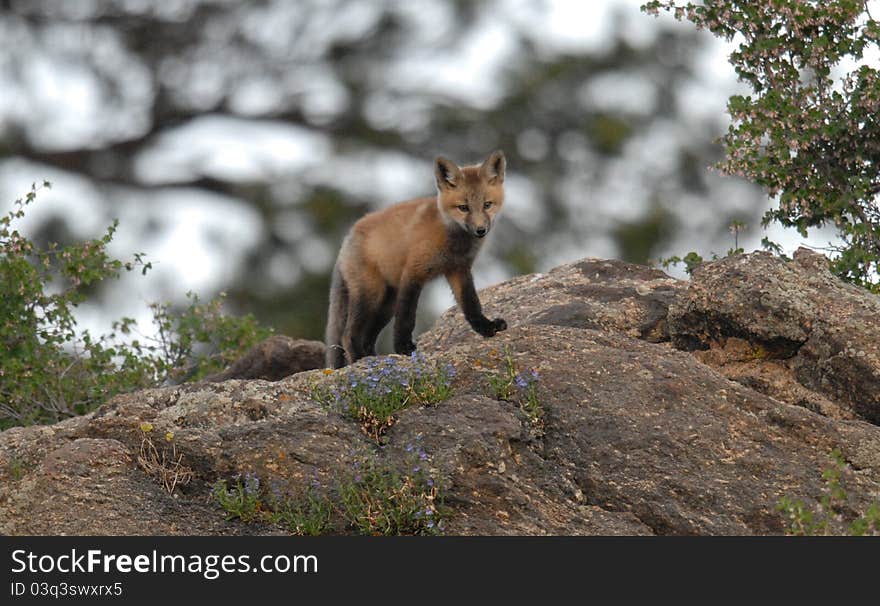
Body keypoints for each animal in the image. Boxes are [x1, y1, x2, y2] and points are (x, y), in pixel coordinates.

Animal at [326, 151, 508, 370]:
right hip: (371, 295)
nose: (481, 230)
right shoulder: (414, 273)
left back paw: (372, 358)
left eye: (487, 205)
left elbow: (471, 304)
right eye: (463, 208)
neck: (452, 239)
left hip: (386, 304)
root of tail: (348, 237)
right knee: (348, 335)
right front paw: (403, 348)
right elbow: (406, 318)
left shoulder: (458, 269)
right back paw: (360, 359)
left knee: (367, 337)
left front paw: (486, 327)